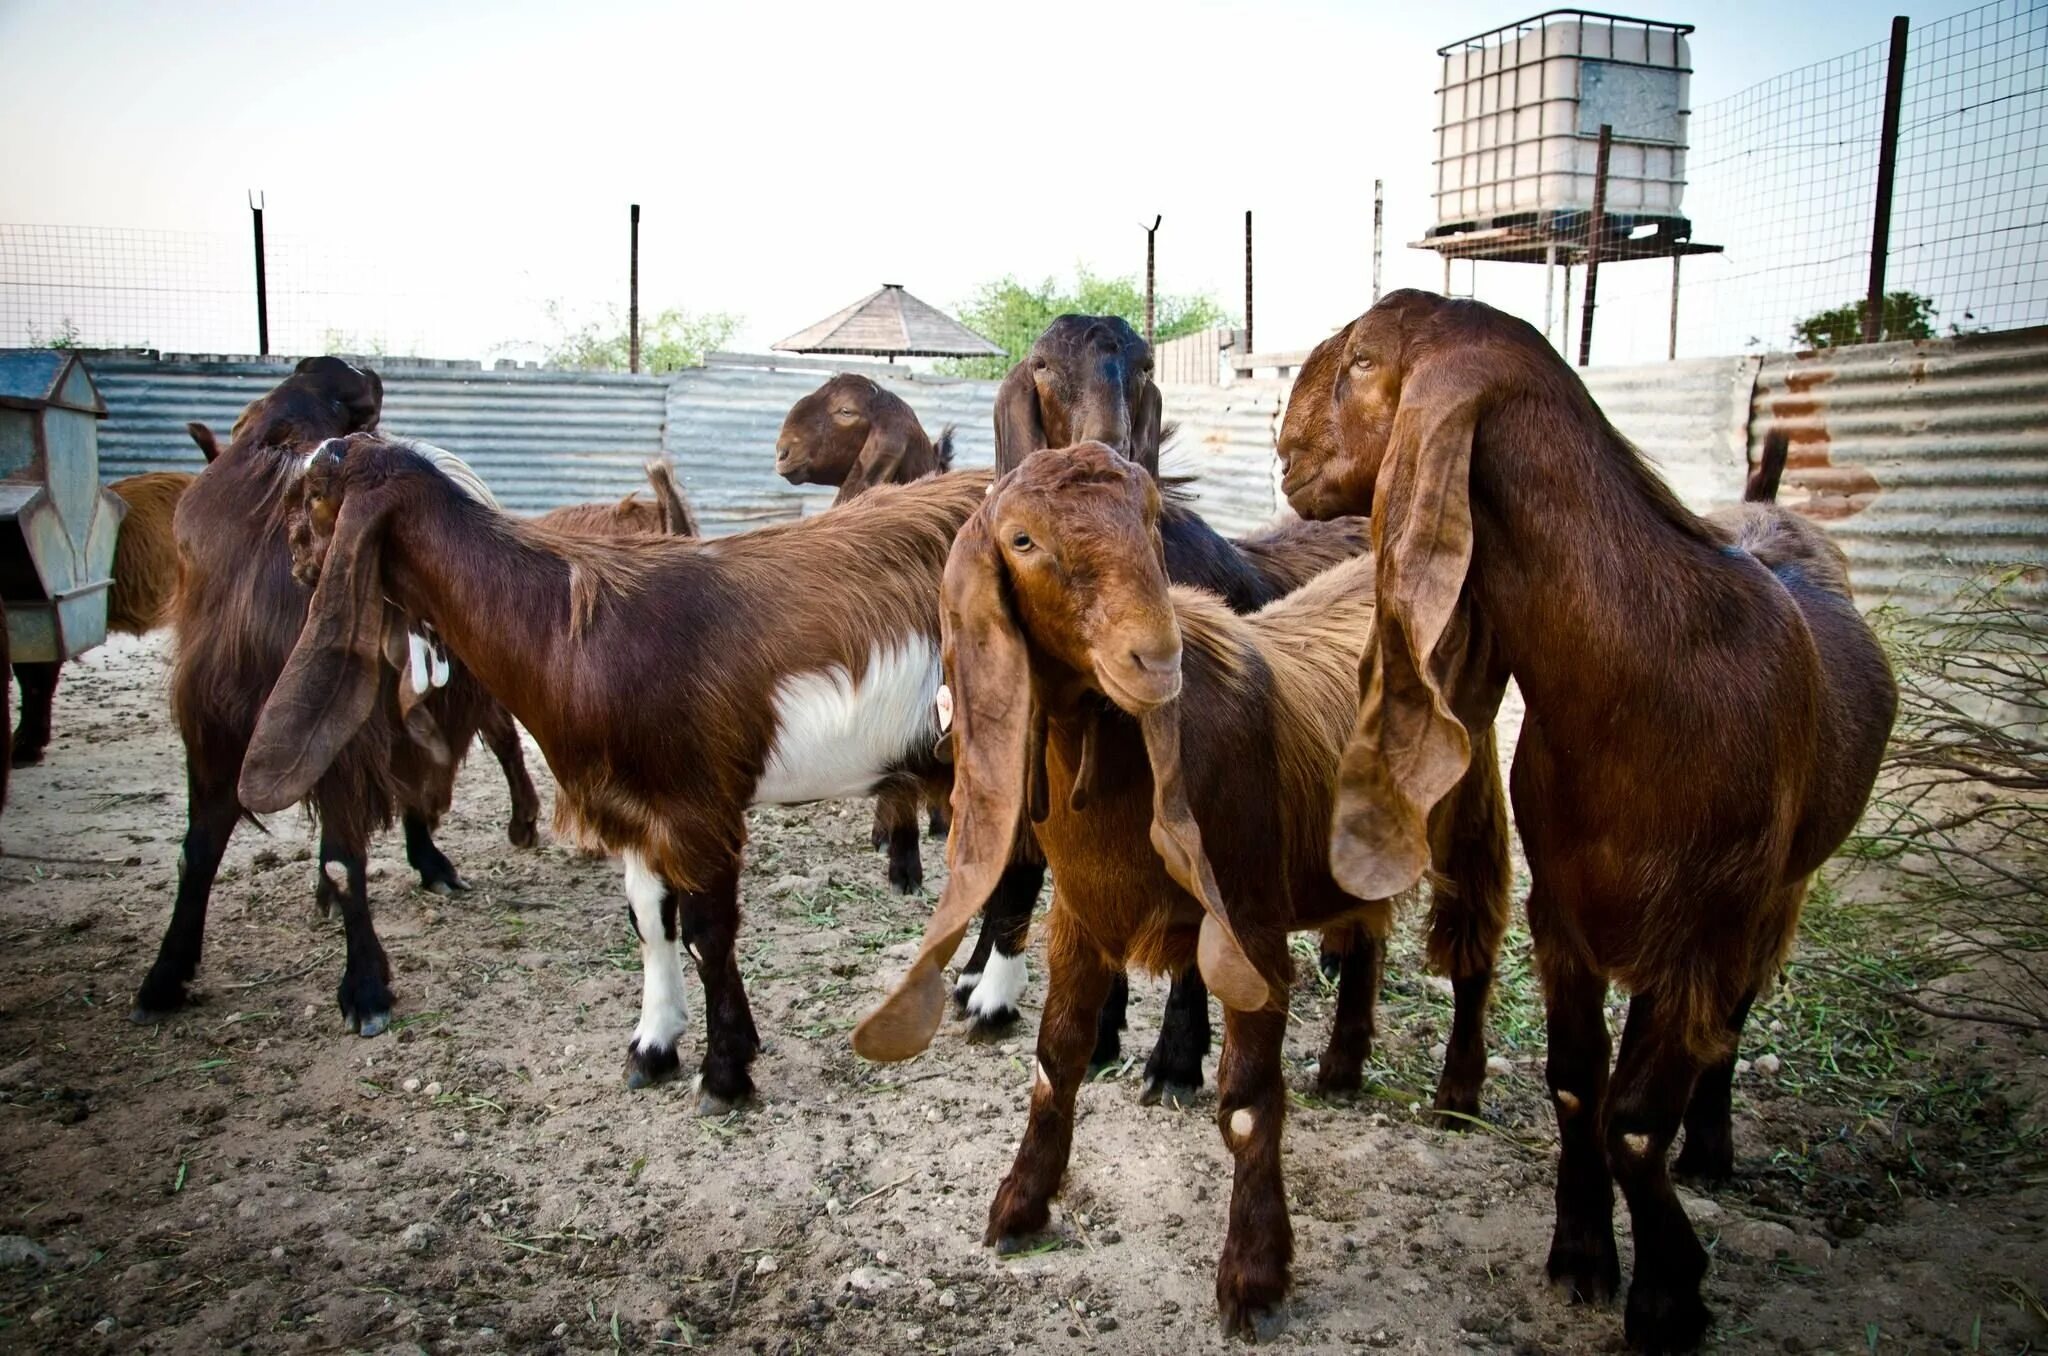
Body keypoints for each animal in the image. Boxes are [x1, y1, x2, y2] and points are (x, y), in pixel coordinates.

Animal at [135, 360, 544, 1040]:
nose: (356, 372)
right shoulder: (217, 733)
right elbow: (196, 853)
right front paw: (165, 976)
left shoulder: (343, 742)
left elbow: (343, 858)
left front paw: (366, 988)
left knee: (497, 744)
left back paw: (502, 831)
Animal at [239, 440, 991, 1122]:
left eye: (312, 497)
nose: (293, 564)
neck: (567, 629)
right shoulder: (635, 808)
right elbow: (649, 923)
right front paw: (654, 1048)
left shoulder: (697, 806)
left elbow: (708, 935)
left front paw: (724, 1075)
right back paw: (975, 986)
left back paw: (987, 1000)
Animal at [856, 446, 1515, 1335]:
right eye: (1021, 538)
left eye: (1151, 518)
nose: (1154, 658)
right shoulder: (1081, 918)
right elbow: (1055, 1061)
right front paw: (1019, 1208)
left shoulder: (1249, 926)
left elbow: (1246, 1102)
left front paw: (1254, 1279)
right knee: (1366, 932)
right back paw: (1342, 1066)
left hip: (1472, 818)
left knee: (1474, 952)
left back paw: (1457, 1094)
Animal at [1269, 292, 1892, 1351]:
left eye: (1362, 361)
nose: (1283, 442)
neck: (1643, 674)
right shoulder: (1564, 919)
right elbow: (1574, 1085)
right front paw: (1583, 1256)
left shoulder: (1700, 931)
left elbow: (1635, 1119)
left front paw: (1671, 1293)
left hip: (1778, 893)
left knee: (1733, 1019)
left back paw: (1712, 1146)